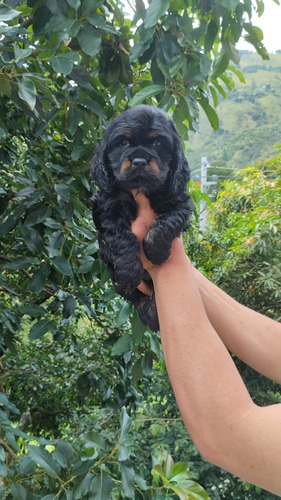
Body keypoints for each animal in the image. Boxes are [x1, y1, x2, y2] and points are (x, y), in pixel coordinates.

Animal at [92, 105, 192, 332]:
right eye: (124, 143)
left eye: (158, 143)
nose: (139, 161)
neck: (142, 188)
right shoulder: (108, 205)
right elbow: (121, 236)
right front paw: (129, 269)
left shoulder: (179, 200)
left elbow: (168, 221)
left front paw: (156, 251)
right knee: (134, 295)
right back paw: (149, 311)